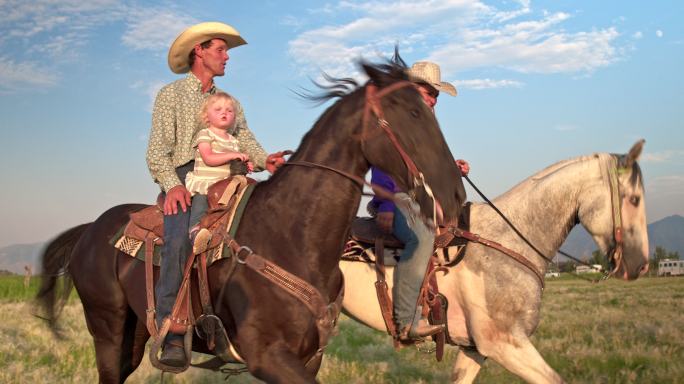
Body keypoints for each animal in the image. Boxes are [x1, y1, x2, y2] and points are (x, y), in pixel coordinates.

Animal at [37, 60, 464, 384]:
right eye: (413, 112)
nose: (456, 196)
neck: (291, 235)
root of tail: (90, 230)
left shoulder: (309, 356)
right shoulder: (268, 356)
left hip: (136, 331)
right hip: (107, 330)